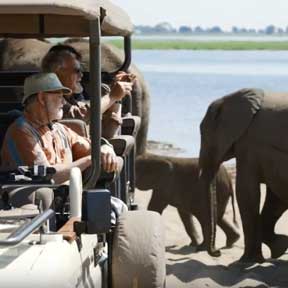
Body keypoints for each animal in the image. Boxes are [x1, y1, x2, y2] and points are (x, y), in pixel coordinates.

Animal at [199, 88, 288, 264]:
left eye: (202, 134)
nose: (218, 252)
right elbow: (275, 198)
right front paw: (279, 249)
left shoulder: (249, 144)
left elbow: (246, 192)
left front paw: (244, 262)